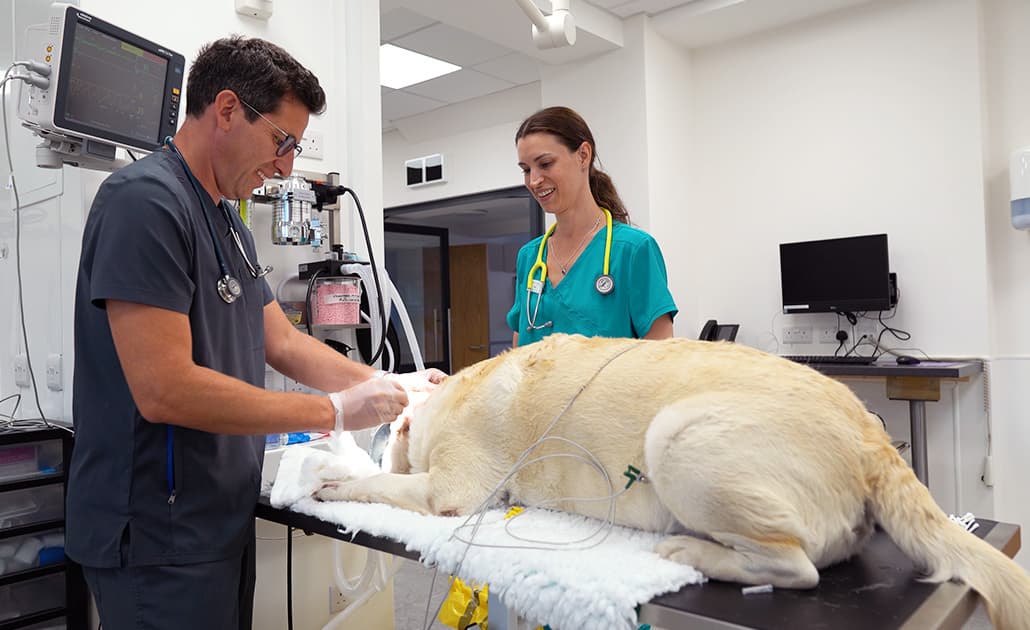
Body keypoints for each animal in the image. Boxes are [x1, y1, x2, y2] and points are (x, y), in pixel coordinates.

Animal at [317, 331, 1030, 625]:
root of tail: (870, 431)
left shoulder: (452, 492)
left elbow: (381, 486)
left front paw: (333, 483)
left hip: (675, 437)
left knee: (794, 568)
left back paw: (690, 550)